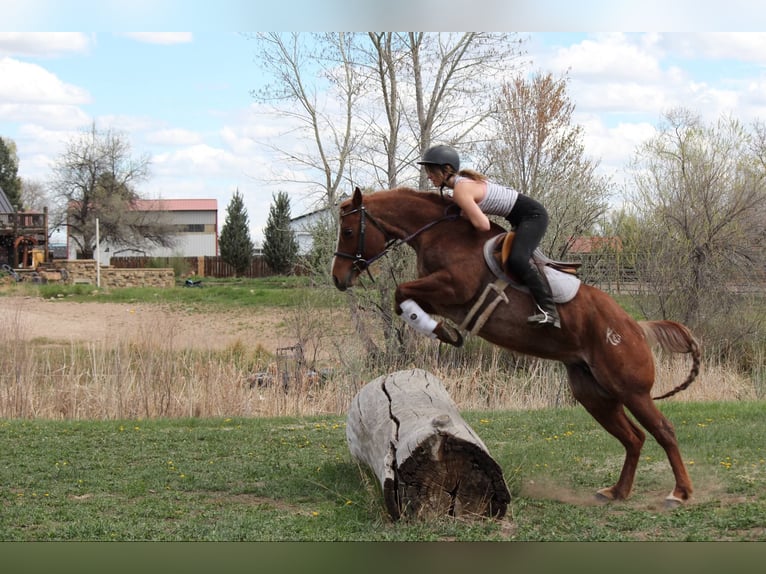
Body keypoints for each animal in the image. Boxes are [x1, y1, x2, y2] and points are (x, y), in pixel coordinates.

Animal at [331, 186, 701, 506]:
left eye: (348, 231)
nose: (338, 278)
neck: (438, 232)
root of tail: (636, 327)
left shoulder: (453, 288)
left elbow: (400, 292)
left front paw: (442, 332)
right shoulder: (438, 295)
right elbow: (402, 298)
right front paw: (442, 331)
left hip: (631, 390)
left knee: (664, 431)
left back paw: (679, 493)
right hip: (594, 394)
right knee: (634, 437)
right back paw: (617, 492)